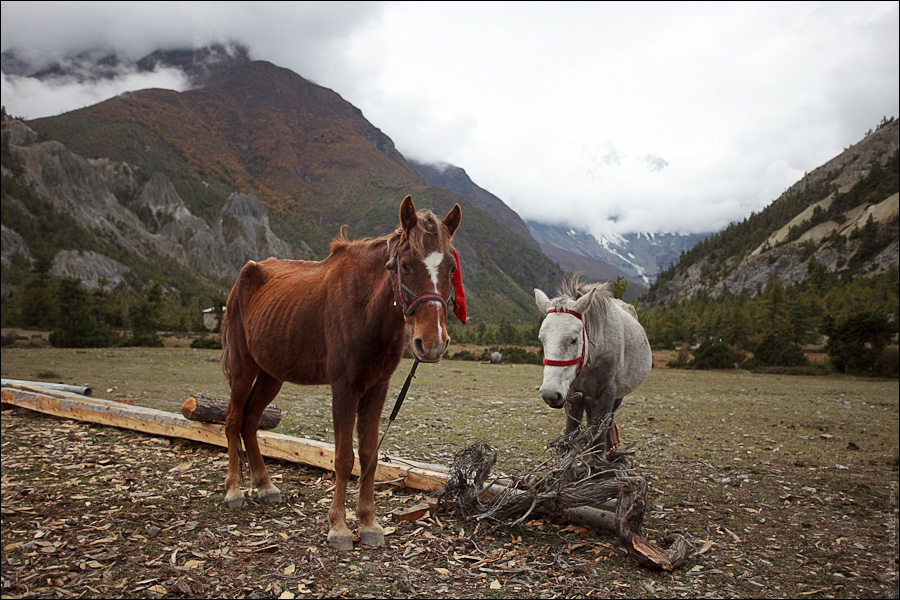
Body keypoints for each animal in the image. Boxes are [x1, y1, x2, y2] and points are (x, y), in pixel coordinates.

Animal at [220, 195, 462, 550]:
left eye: (450, 269)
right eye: (405, 265)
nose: (431, 343)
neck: (367, 310)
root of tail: (244, 276)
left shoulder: (377, 388)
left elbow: (369, 455)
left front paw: (369, 523)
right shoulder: (344, 389)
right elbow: (344, 458)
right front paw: (339, 527)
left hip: (271, 374)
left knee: (250, 421)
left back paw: (265, 485)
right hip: (243, 367)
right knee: (234, 419)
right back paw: (235, 490)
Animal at [534, 276, 651, 451]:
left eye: (574, 339)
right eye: (542, 339)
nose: (550, 394)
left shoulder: (605, 395)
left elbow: (597, 441)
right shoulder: (573, 394)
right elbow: (571, 433)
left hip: (616, 397)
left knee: (608, 422)